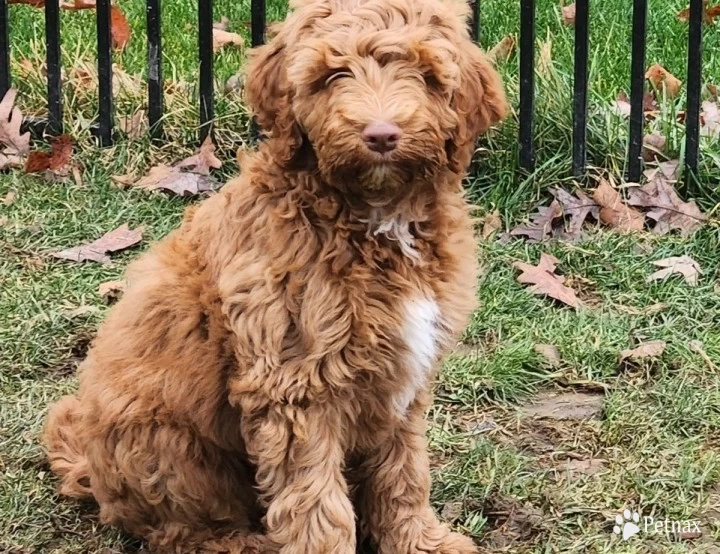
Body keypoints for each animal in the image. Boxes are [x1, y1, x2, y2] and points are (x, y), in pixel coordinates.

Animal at [45, 0, 506, 548]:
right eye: (333, 75)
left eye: (425, 74)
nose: (381, 135)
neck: (374, 218)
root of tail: (91, 469)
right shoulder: (296, 383)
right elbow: (317, 502)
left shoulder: (404, 379)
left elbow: (403, 472)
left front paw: (420, 542)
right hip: (170, 450)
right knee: (185, 531)